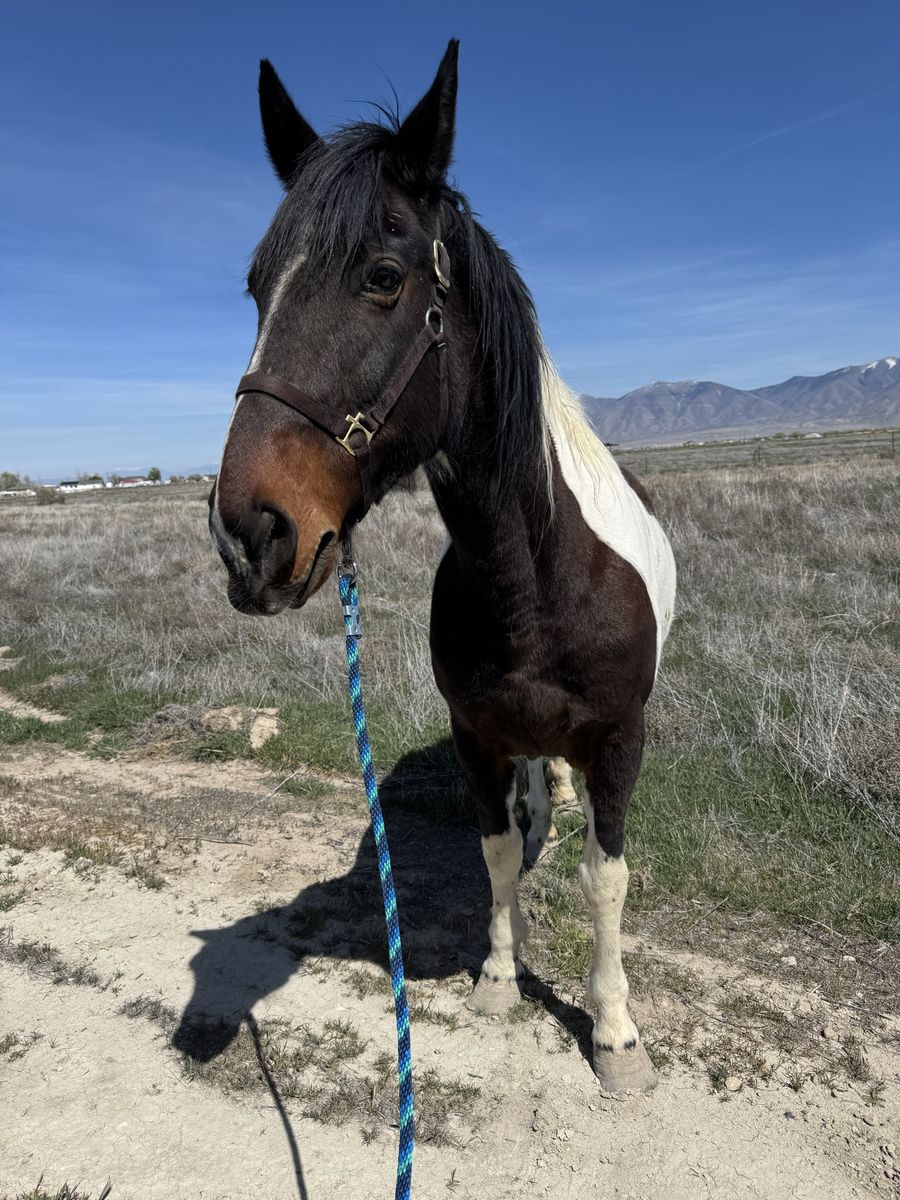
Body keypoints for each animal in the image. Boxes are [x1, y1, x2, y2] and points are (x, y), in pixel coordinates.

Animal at [210, 40, 676, 1094]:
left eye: (384, 276)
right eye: (257, 287)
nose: (250, 536)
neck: (535, 577)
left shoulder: (620, 740)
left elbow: (607, 881)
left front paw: (616, 1033)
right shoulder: (477, 735)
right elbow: (497, 854)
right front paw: (501, 977)